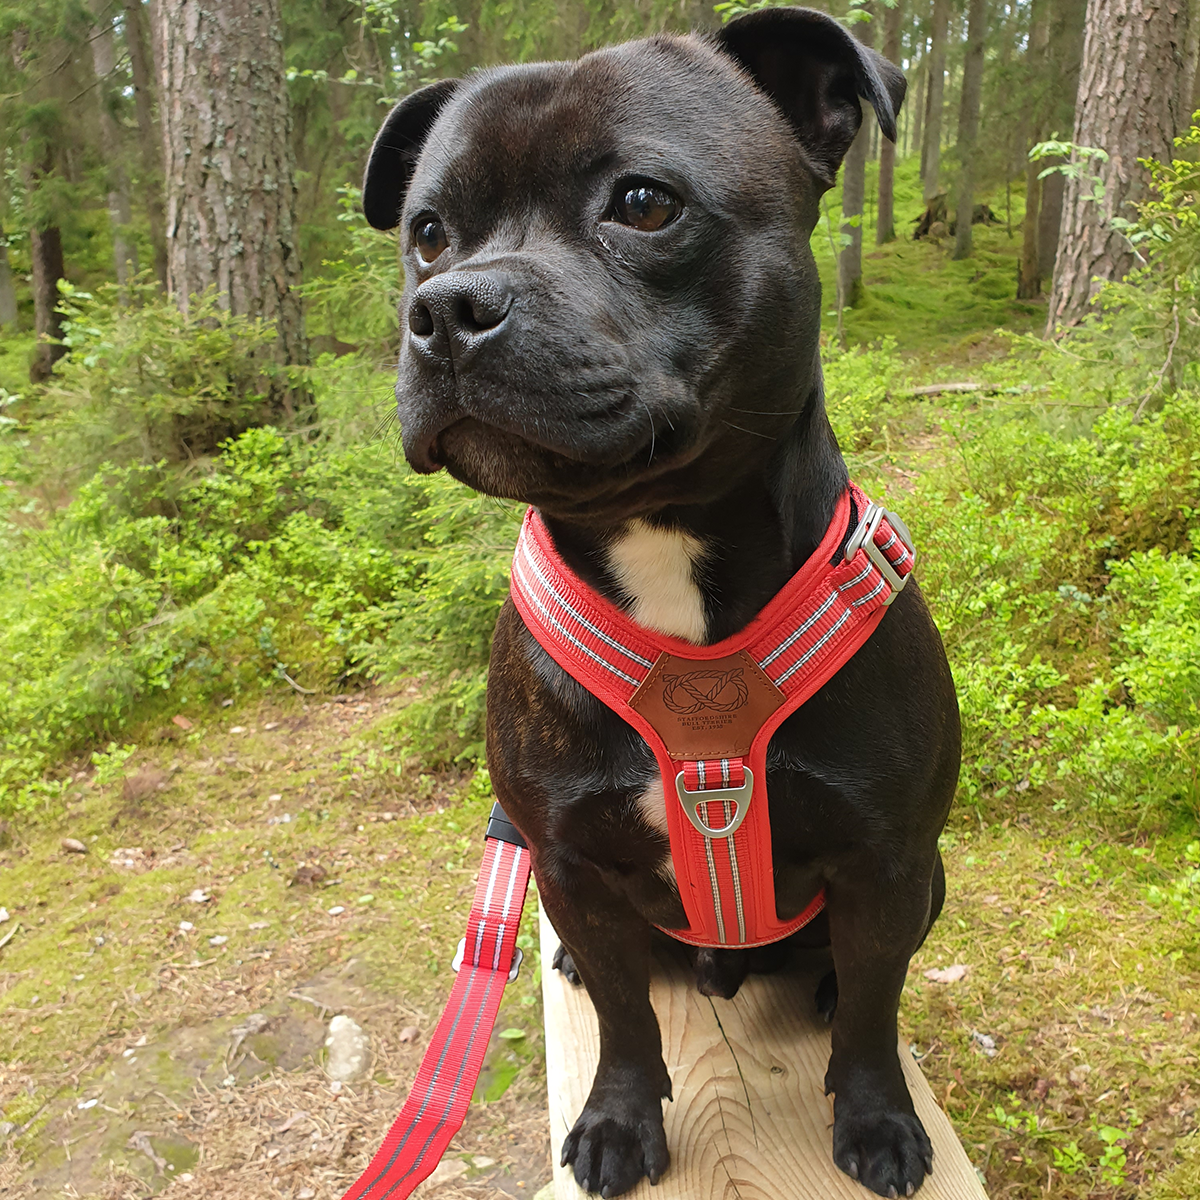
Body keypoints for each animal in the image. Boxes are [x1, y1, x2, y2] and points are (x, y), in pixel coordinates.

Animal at [360, 7, 960, 1190]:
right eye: (428, 232)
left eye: (643, 203)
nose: (446, 309)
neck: (659, 538)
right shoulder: (568, 862)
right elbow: (630, 1024)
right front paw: (617, 1123)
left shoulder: (888, 858)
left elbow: (876, 1012)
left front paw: (877, 1121)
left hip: (932, 876)